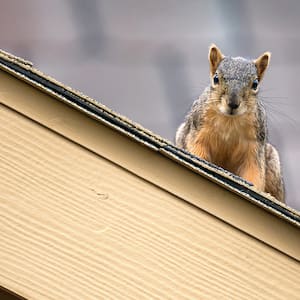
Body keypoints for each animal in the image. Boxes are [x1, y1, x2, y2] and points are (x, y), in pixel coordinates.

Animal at [176, 44, 286, 203]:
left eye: (255, 84)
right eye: (216, 79)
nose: (233, 103)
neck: (230, 121)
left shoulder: (254, 146)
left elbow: (254, 171)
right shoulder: (198, 131)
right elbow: (197, 150)